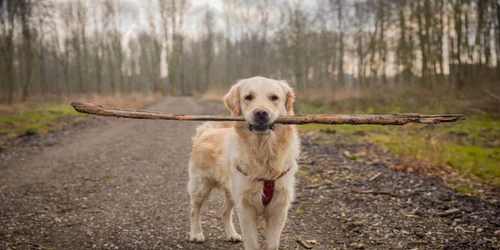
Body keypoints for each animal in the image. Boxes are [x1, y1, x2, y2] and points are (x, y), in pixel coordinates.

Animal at [187, 76, 296, 250]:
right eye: (248, 97)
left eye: (274, 97)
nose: (261, 113)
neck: (263, 150)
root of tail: (206, 130)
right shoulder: (246, 208)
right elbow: (252, 242)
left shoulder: (279, 208)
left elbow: (272, 243)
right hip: (201, 186)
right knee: (194, 209)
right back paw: (196, 234)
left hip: (231, 192)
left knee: (224, 211)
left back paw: (231, 234)